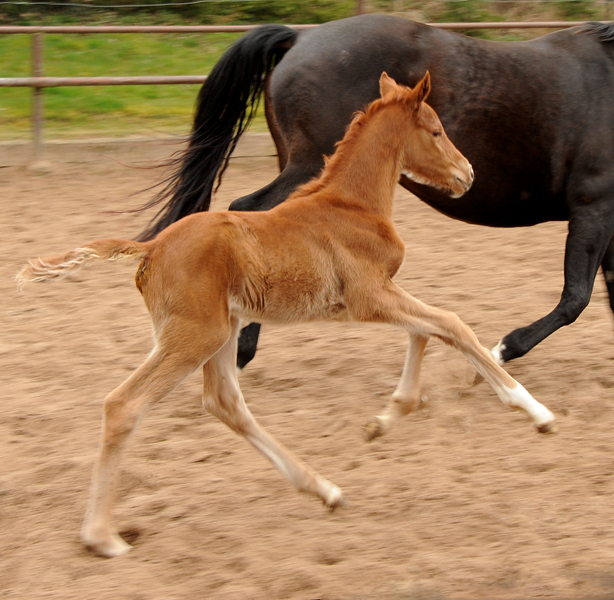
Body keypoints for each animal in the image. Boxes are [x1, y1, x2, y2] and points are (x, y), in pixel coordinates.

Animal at [19, 74, 560, 556]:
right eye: (436, 130)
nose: (467, 174)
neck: (352, 205)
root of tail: (150, 249)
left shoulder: (371, 299)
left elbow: (426, 333)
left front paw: (385, 419)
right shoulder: (369, 297)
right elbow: (451, 324)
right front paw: (533, 409)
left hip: (222, 332)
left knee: (224, 403)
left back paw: (325, 489)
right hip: (196, 336)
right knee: (125, 405)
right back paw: (102, 537)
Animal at [140, 14, 614, 368]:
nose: (467, 174)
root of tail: (300, 37)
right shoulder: (593, 206)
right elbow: (576, 298)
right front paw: (504, 348)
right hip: (308, 165)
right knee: (249, 212)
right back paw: (241, 349)